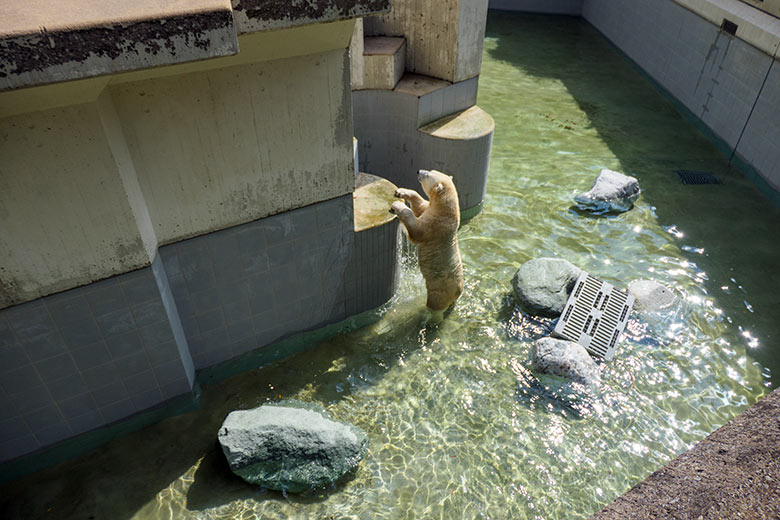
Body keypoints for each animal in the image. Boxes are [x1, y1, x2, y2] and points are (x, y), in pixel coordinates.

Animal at [390, 171, 464, 316]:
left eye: (428, 175)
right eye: (431, 171)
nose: (419, 171)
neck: (447, 211)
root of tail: (459, 291)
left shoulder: (435, 225)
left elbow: (417, 231)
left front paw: (397, 206)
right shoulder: (430, 210)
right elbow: (420, 206)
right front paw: (401, 192)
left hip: (441, 289)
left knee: (435, 305)